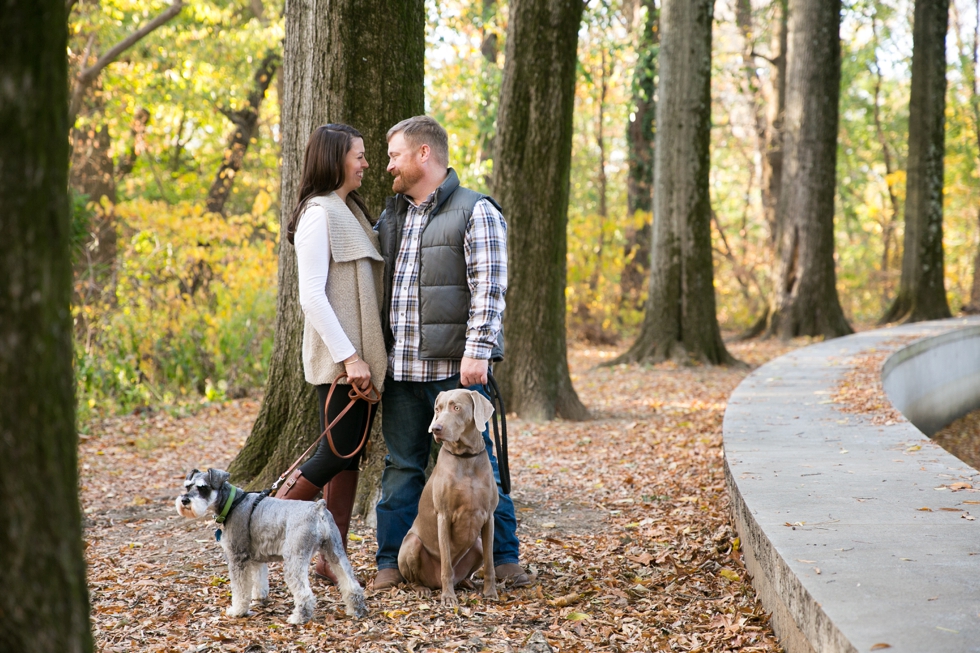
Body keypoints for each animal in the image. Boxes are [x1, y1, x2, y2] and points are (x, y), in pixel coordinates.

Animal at [173, 466, 368, 624]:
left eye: (203, 488)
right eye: (188, 486)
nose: (184, 500)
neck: (233, 502)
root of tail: (318, 508)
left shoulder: (237, 557)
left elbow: (240, 589)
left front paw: (238, 610)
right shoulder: (256, 558)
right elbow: (259, 579)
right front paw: (258, 597)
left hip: (294, 559)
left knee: (305, 593)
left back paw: (298, 618)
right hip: (335, 552)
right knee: (352, 584)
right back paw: (356, 610)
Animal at [396, 388, 498, 608]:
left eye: (456, 407)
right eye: (437, 408)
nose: (436, 428)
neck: (466, 459)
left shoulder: (489, 517)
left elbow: (490, 562)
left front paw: (491, 592)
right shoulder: (444, 515)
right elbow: (446, 565)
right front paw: (448, 597)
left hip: (476, 544)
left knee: (466, 570)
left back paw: (468, 583)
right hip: (411, 544)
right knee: (414, 579)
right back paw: (423, 589)